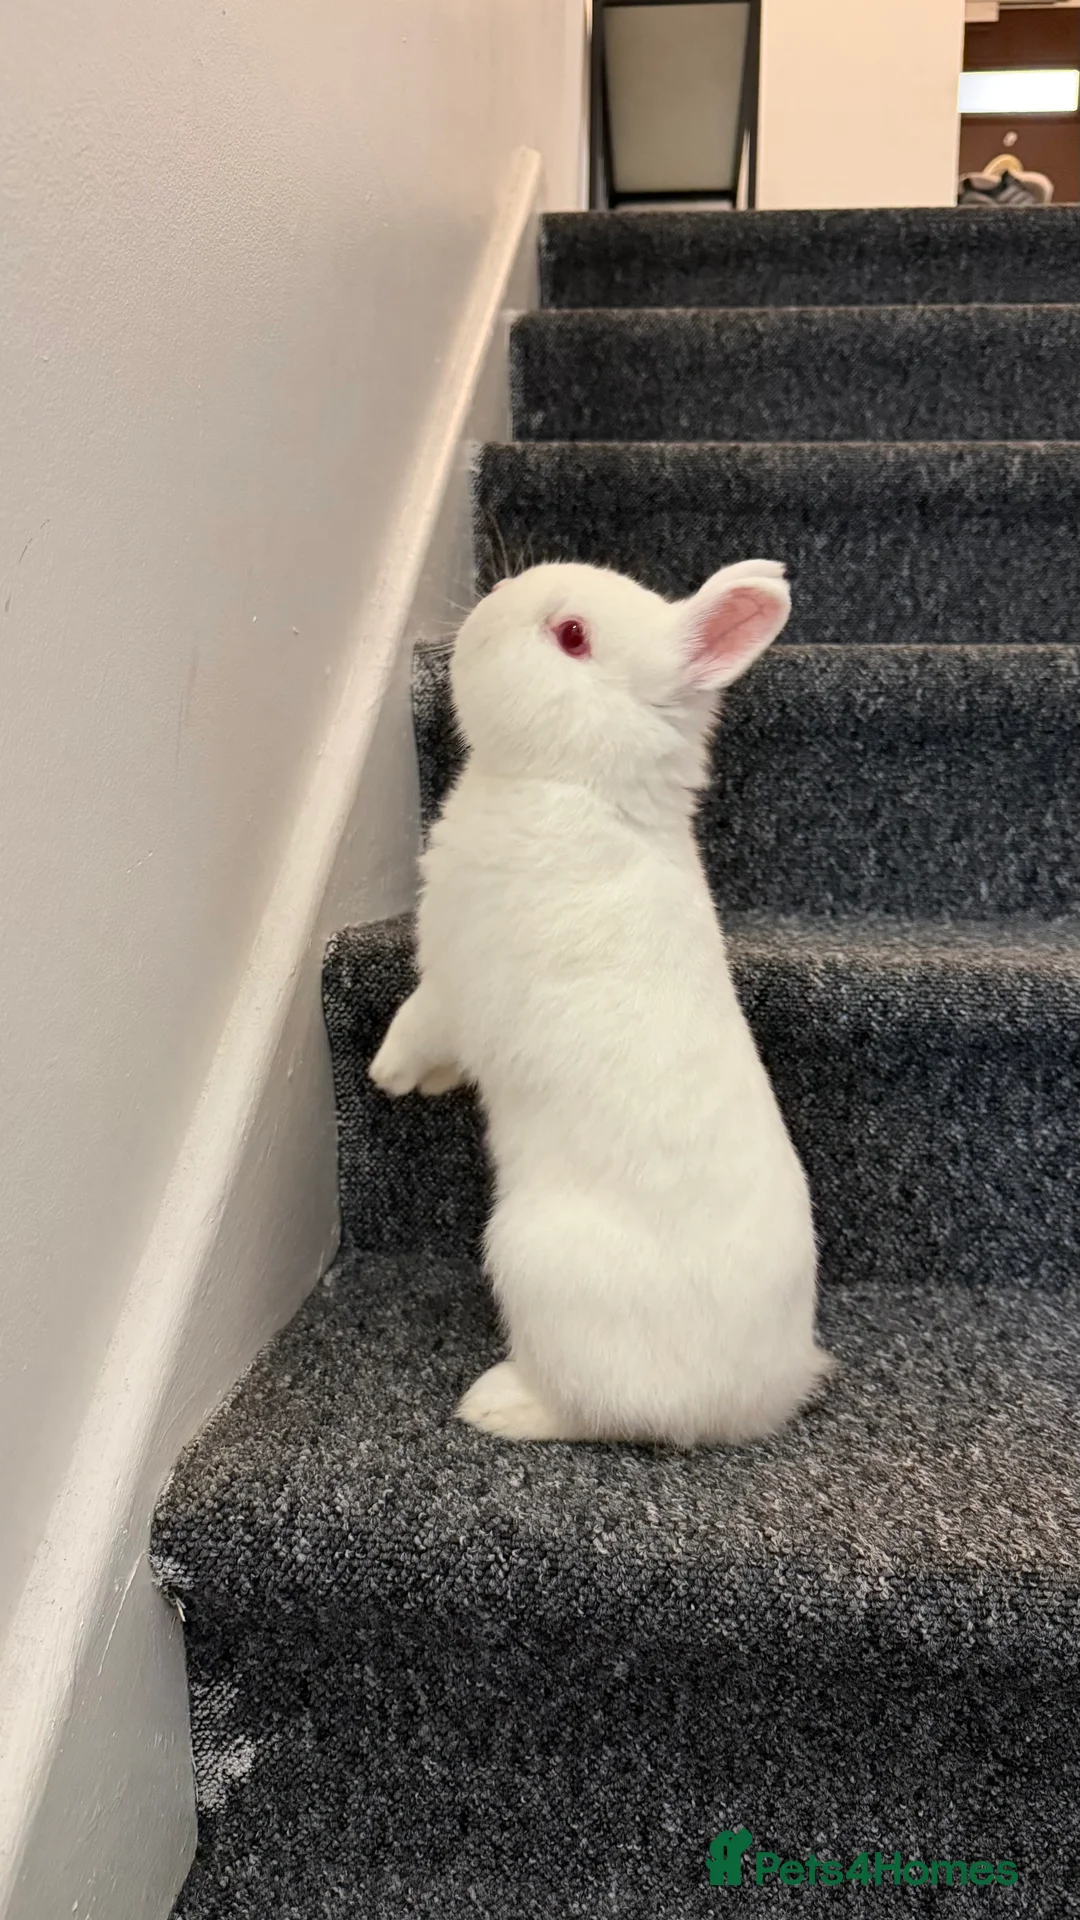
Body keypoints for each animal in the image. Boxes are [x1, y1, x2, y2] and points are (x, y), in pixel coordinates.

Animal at [369, 559, 834, 1447]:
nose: (483, 612)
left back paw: (498, 1405)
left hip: (532, 1260)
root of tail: (753, 1402)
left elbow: (420, 1020)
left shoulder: (455, 976)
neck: (577, 784)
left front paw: (389, 1075)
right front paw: (427, 1084)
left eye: (572, 636)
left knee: (600, 1410)